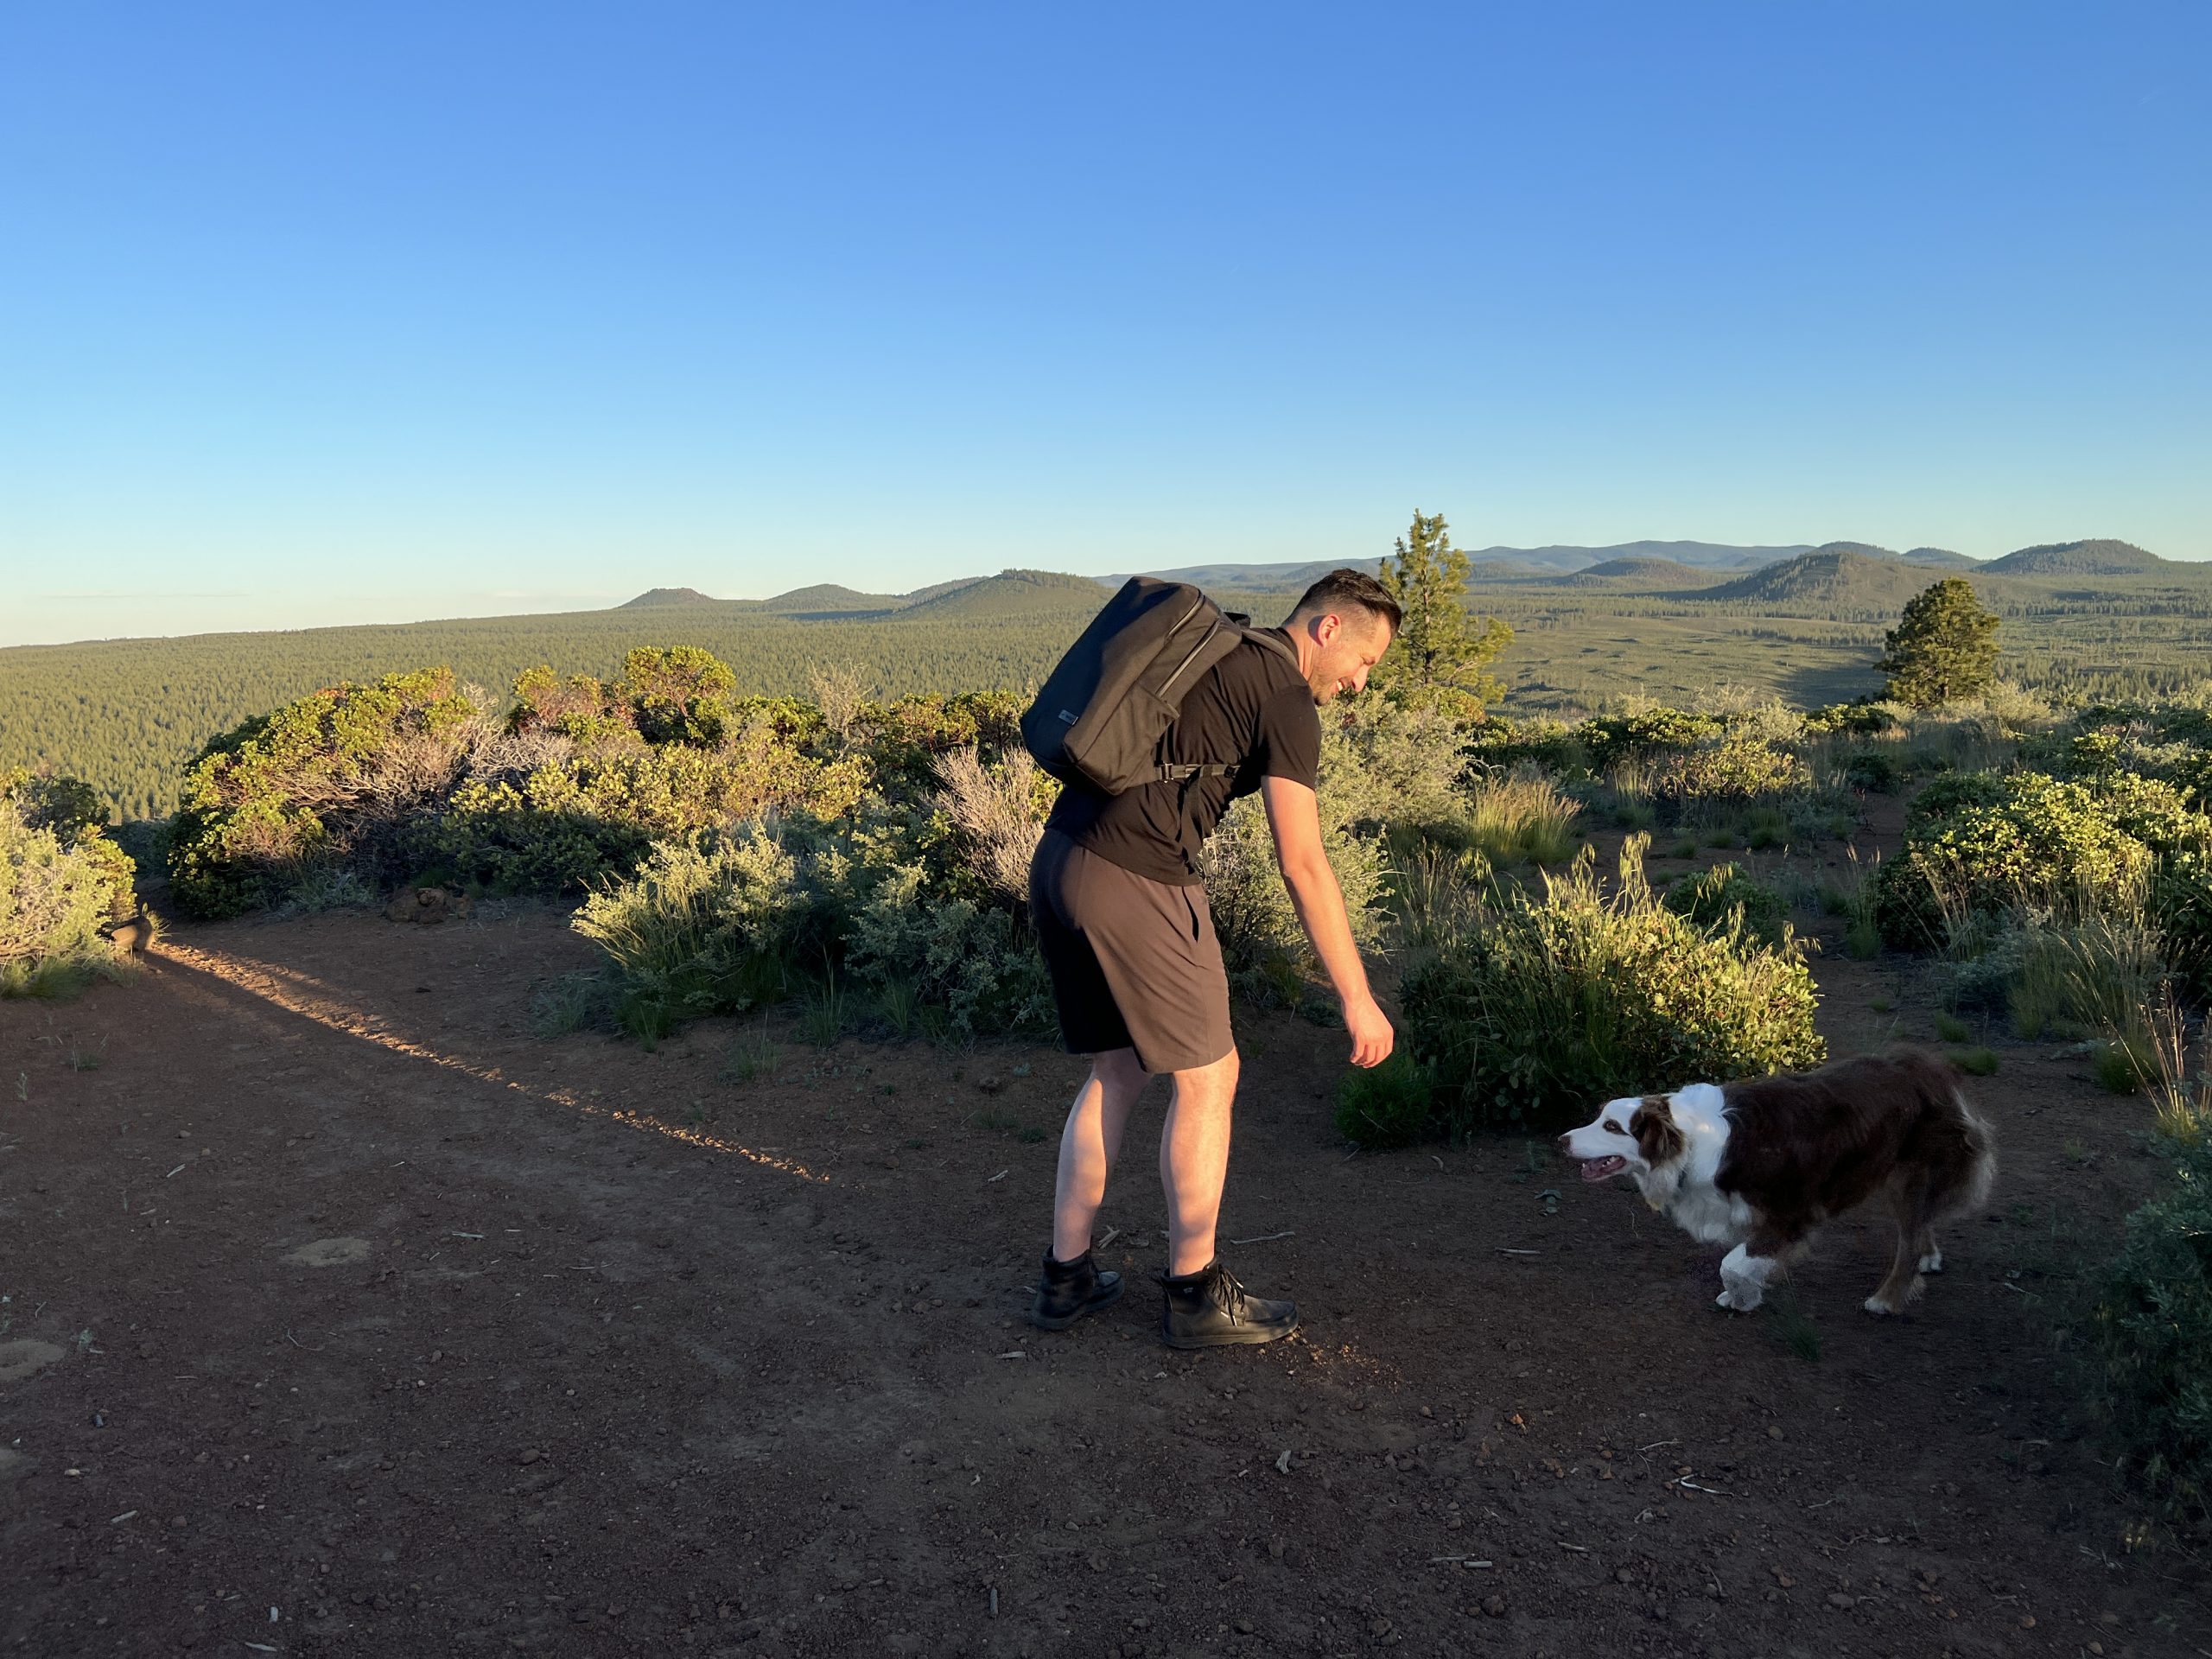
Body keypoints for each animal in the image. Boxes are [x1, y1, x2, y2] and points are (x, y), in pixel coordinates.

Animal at [1557, 1057, 2008, 1318]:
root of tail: (1934, 1068)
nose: (1561, 1139)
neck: (1690, 1140)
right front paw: (1744, 1297)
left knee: (1909, 1241)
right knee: (1919, 1223)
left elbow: (1732, 1263)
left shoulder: (1792, 1213)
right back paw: (1929, 1256)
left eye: (1612, 1127)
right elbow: (1740, 1261)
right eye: (1599, 1118)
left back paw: (1887, 1298)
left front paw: (1742, 1296)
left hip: (1912, 1172)